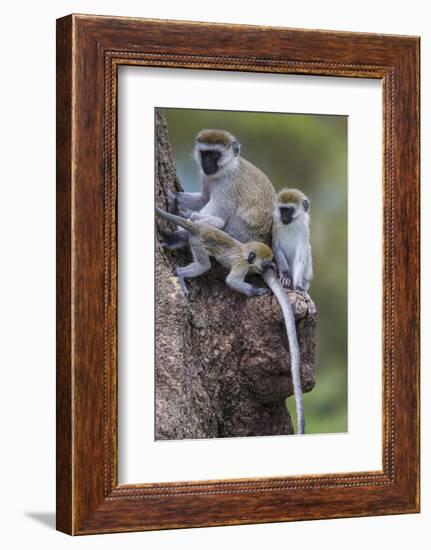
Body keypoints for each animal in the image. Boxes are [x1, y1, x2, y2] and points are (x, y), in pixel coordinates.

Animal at [160, 129, 306, 436]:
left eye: (216, 154)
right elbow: (201, 197)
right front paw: (173, 196)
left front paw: (186, 216)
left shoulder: (226, 187)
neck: (225, 170)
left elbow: (214, 215)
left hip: (240, 238)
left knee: (219, 226)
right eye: (205, 153)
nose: (207, 164)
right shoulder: (208, 180)